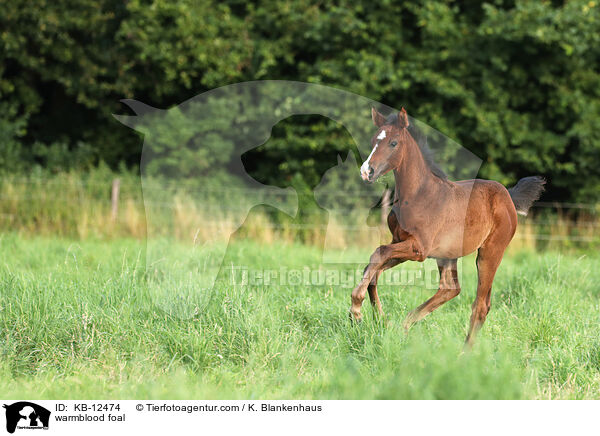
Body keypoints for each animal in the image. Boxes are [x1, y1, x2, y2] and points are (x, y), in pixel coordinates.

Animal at [352, 107, 544, 346]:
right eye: (373, 141)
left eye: (393, 143)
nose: (366, 171)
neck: (417, 194)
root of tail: (508, 195)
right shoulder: (400, 242)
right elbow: (374, 269)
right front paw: (380, 320)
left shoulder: (419, 249)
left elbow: (379, 253)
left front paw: (356, 309)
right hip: (448, 254)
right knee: (450, 289)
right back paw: (406, 325)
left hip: (490, 253)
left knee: (480, 305)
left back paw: (463, 351)